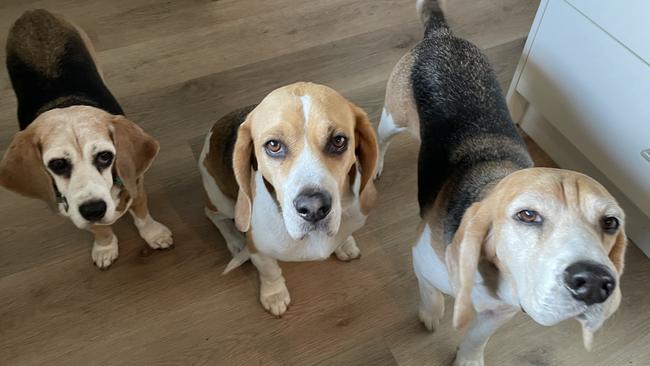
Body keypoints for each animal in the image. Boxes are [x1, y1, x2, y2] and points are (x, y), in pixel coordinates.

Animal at [0, 9, 172, 268]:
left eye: (105, 156)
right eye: (57, 164)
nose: (94, 210)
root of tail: (33, 12)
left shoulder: (135, 183)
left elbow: (142, 215)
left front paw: (154, 234)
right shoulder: (74, 210)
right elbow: (99, 230)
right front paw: (105, 247)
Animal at [200, 81, 378, 316]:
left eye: (338, 141)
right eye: (273, 145)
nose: (314, 208)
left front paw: (345, 244)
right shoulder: (258, 249)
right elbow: (270, 271)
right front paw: (274, 295)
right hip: (223, 202)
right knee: (213, 215)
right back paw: (235, 241)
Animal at [378, 1, 624, 364]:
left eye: (611, 222)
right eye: (527, 215)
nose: (594, 283)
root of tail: (442, 36)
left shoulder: (501, 312)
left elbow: (476, 338)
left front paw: (468, 359)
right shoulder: (422, 261)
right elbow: (431, 295)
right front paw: (431, 315)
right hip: (392, 118)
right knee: (380, 141)